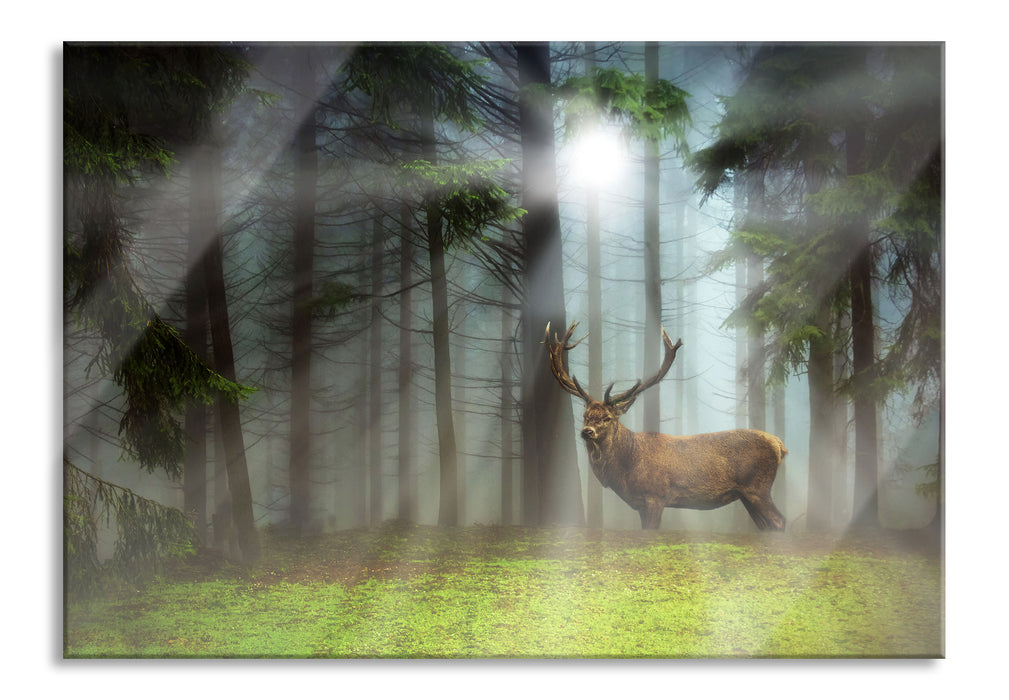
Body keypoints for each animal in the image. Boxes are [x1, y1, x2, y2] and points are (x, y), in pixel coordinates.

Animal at [544, 321, 787, 531]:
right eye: (585, 416)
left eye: (608, 417)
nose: (587, 432)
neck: (626, 468)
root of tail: (779, 444)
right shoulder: (640, 504)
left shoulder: (656, 496)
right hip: (746, 495)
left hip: (758, 487)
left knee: (779, 521)